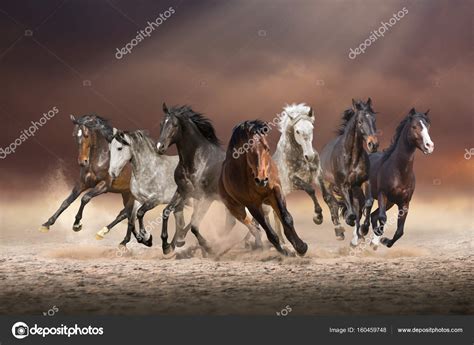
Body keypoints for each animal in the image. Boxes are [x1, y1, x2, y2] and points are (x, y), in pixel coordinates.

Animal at [39, 114, 145, 246]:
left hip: (134, 196)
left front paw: (77, 225)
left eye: (86, 135)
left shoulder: (104, 186)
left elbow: (85, 198)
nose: (82, 162)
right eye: (74, 135)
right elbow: (66, 202)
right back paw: (118, 238)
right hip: (126, 194)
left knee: (126, 214)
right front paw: (47, 224)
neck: (100, 159)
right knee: (128, 214)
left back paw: (113, 236)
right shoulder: (82, 183)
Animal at [156, 103, 250, 254]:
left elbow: (194, 224)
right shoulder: (183, 191)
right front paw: (167, 246)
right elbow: (167, 211)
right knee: (233, 222)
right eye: (161, 123)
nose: (160, 147)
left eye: (175, 125)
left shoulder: (206, 197)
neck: (196, 161)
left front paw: (208, 247)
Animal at [218, 119, 308, 255]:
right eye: (248, 149)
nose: (262, 180)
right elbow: (267, 229)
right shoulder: (252, 204)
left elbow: (286, 218)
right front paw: (285, 251)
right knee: (252, 225)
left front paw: (301, 247)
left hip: (268, 201)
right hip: (236, 208)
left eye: (267, 148)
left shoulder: (275, 190)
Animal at [320, 97, 380, 242]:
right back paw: (339, 233)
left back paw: (359, 236)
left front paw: (364, 229)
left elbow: (368, 203)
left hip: (356, 189)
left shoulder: (364, 181)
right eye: (360, 121)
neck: (352, 157)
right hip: (327, 186)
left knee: (357, 206)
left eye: (374, 120)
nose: (373, 144)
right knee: (332, 204)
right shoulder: (343, 185)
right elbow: (350, 211)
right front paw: (349, 220)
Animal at [366, 107, 434, 247]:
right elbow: (383, 218)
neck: (399, 172)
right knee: (363, 215)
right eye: (414, 126)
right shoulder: (382, 194)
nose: (429, 146)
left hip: (390, 203)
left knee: (373, 215)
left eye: (428, 126)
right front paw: (379, 237)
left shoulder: (404, 203)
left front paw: (383, 241)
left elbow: (399, 231)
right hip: (368, 196)